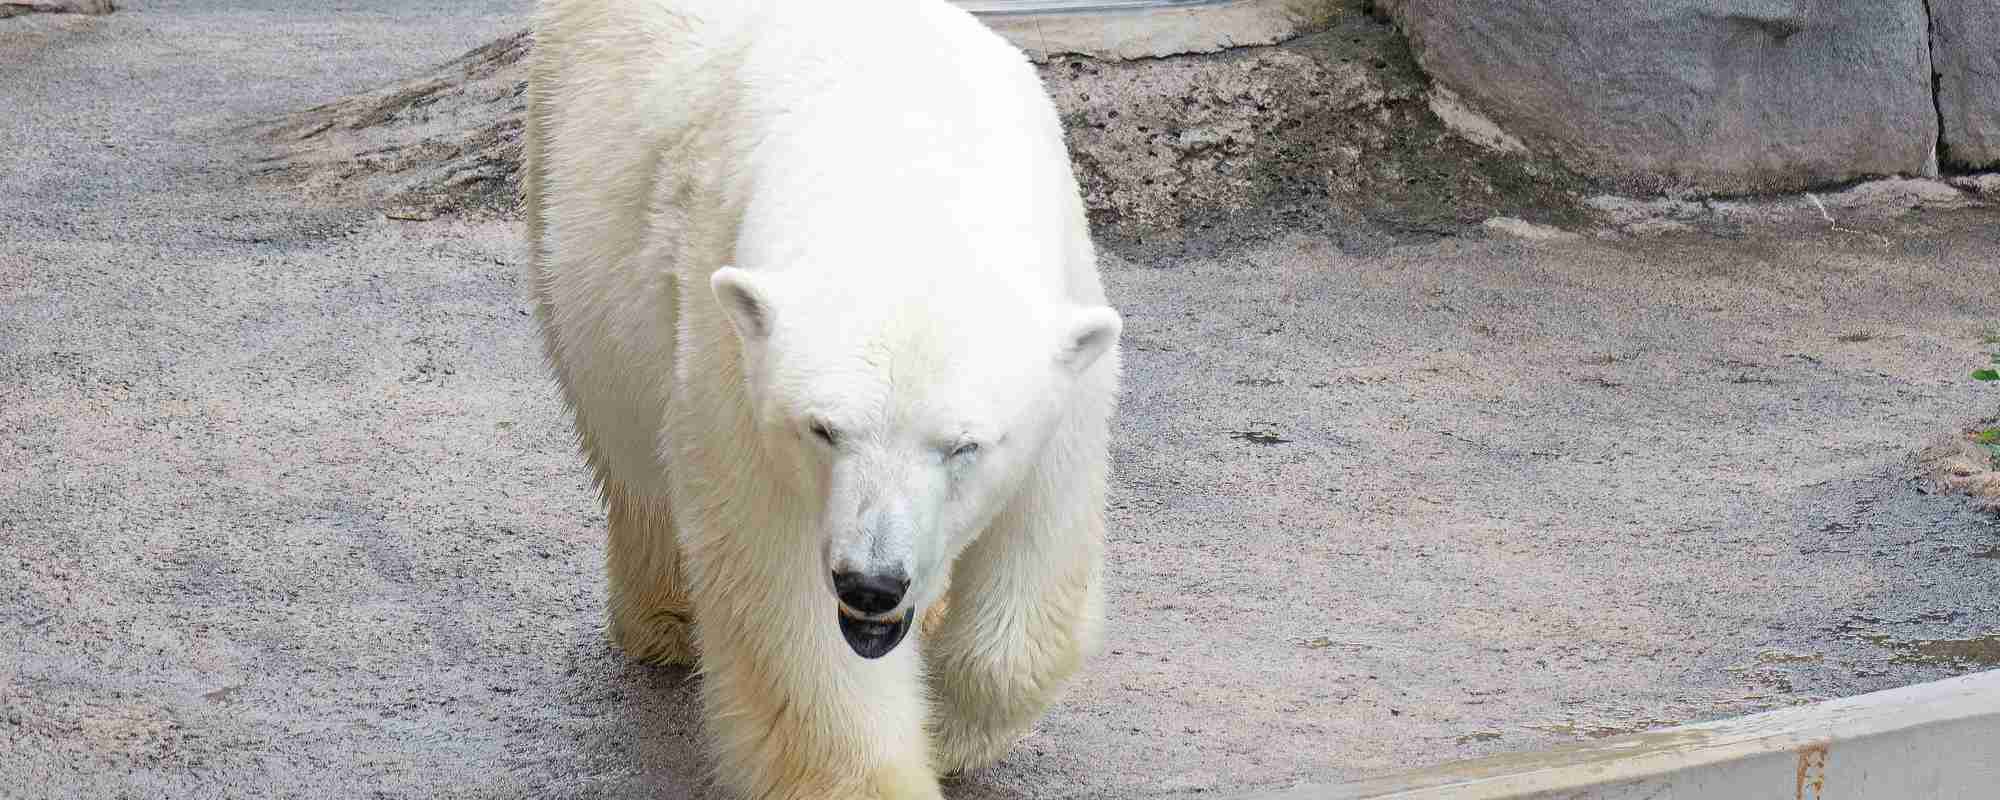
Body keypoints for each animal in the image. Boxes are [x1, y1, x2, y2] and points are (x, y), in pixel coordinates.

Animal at [520, 0, 1128, 796]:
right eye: (823, 430)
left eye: (963, 446)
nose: (872, 584)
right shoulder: (733, 366)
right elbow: (788, 614)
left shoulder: (1070, 351)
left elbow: (1037, 556)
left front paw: (951, 726)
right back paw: (667, 620)